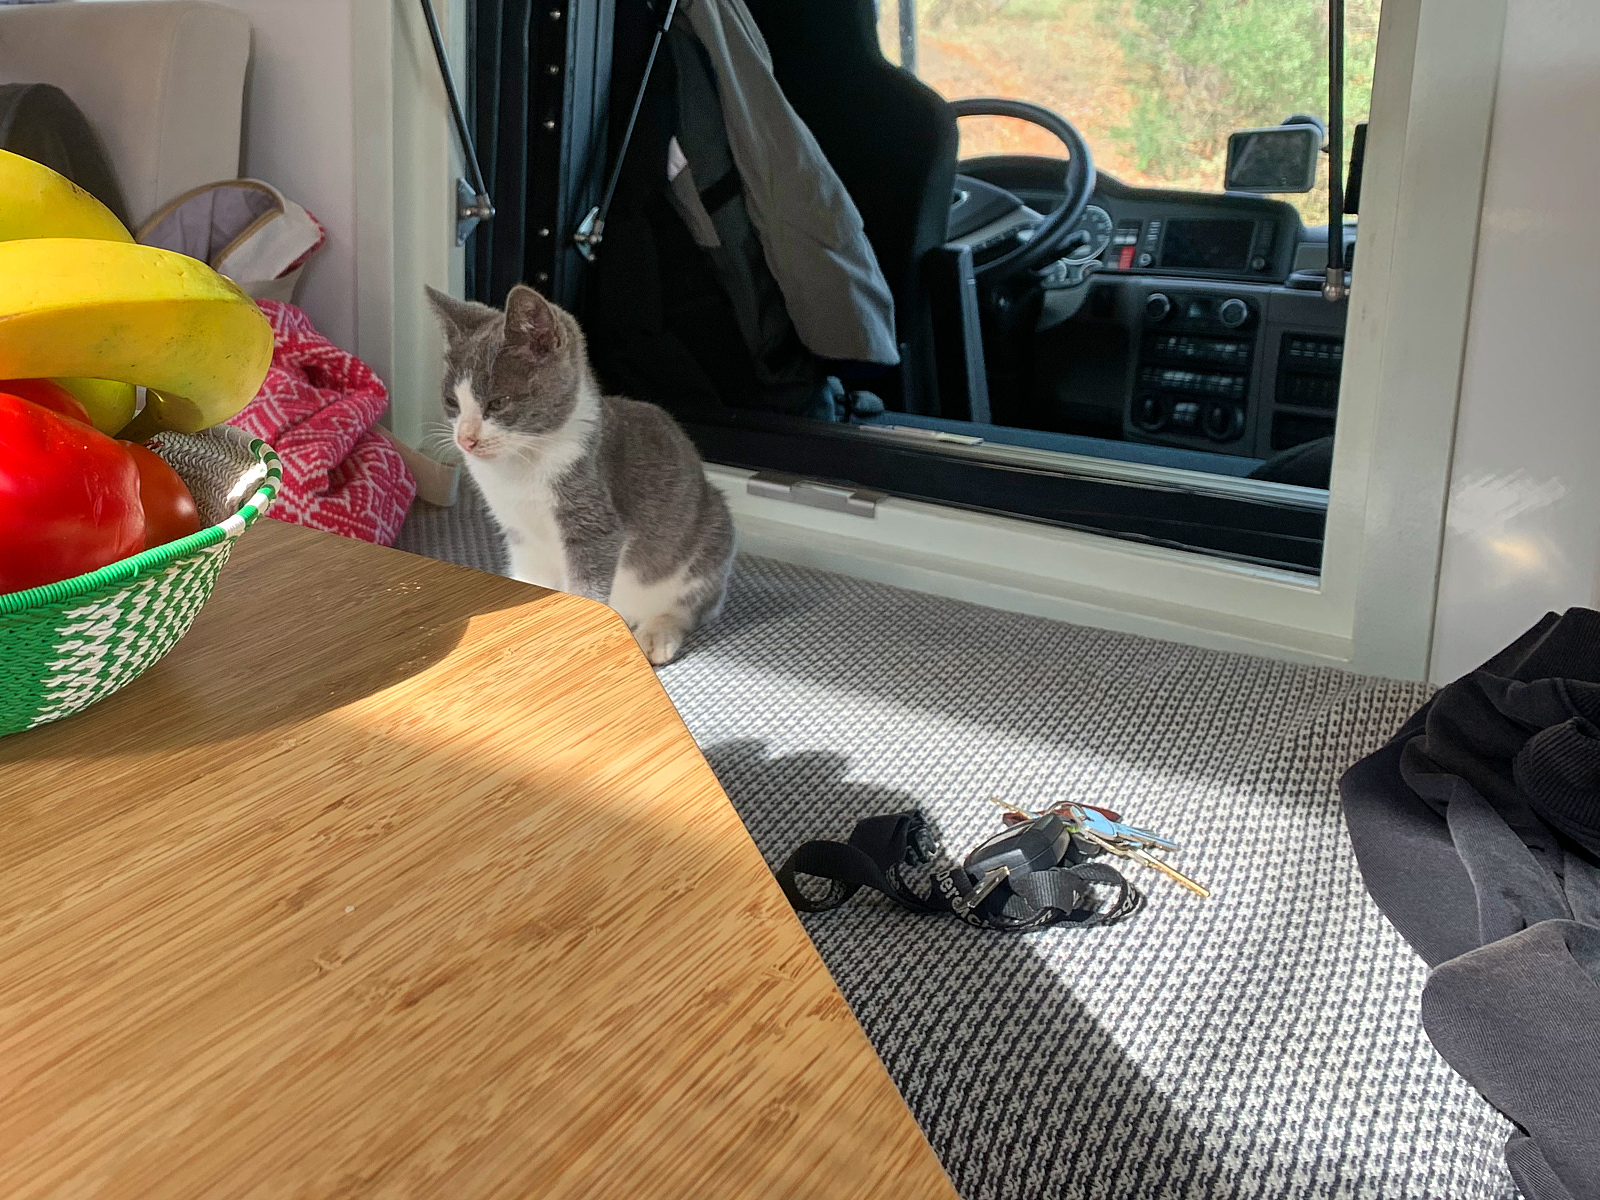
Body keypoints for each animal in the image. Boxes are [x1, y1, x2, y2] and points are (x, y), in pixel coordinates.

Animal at [426, 283, 735, 666]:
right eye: (452, 402)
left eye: (497, 403)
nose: (465, 439)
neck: (520, 467)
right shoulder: (520, 532)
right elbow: (531, 580)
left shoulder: (593, 517)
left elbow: (588, 585)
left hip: (709, 535)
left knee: (693, 604)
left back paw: (657, 634)